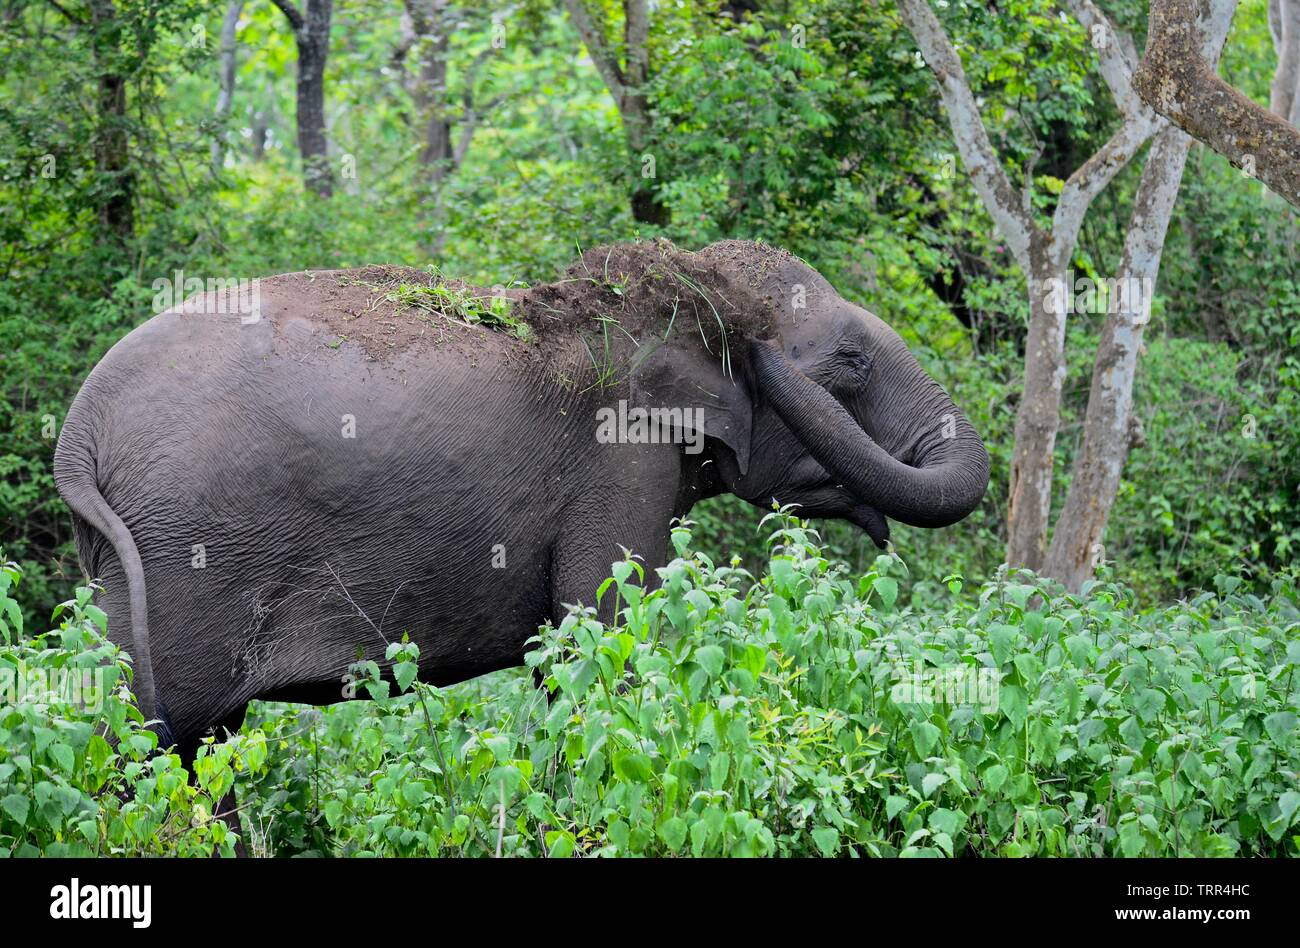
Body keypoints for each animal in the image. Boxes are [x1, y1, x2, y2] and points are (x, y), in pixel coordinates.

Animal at [50, 237, 982, 759]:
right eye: (851, 360)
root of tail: (79, 432)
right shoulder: (618, 463)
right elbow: (603, 639)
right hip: (187, 558)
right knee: (162, 738)